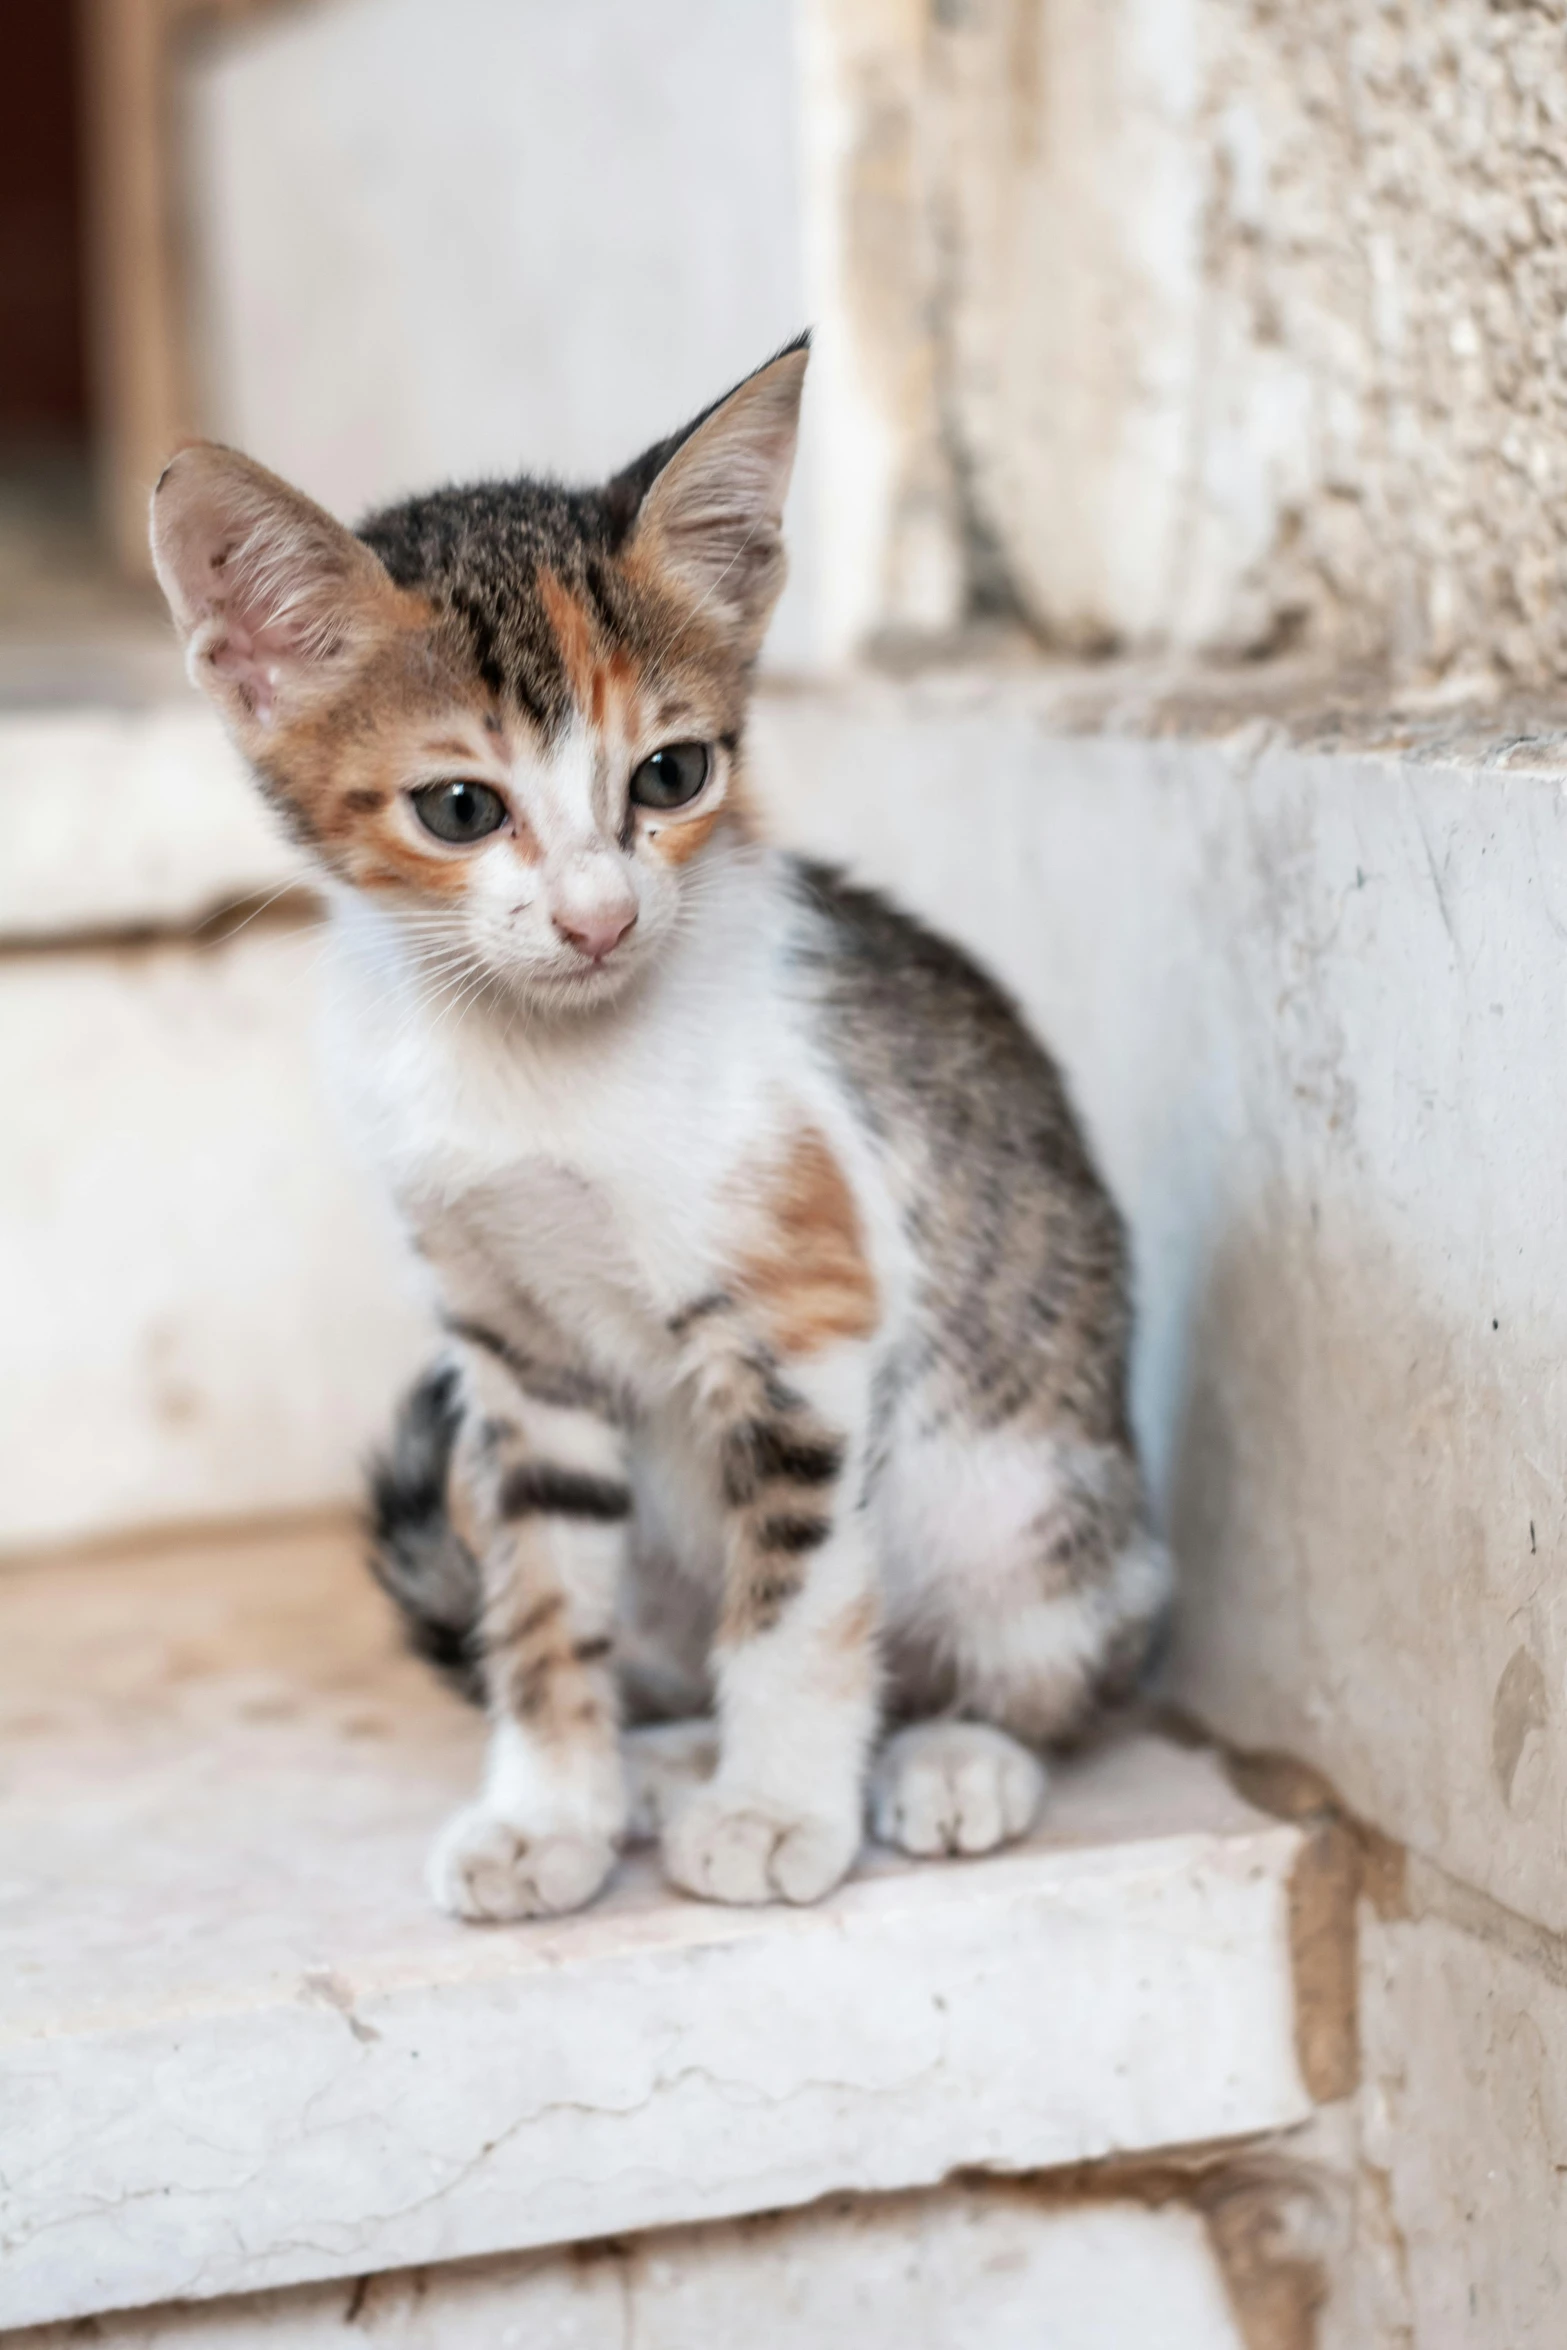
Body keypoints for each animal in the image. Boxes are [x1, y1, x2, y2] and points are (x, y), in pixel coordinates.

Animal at [152, 340, 1169, 1917]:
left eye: (671, 776)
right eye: (460, 807)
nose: (597, 918)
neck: (528, 1060)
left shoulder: (808, 1315)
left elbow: (799, 1599)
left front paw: (775, 1808)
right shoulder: (513, 1356)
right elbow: (537, 1604)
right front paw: (550, 1811)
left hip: (1021, 1494)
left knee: (1052, 1656)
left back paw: (950, 1755)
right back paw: (663, 1758)